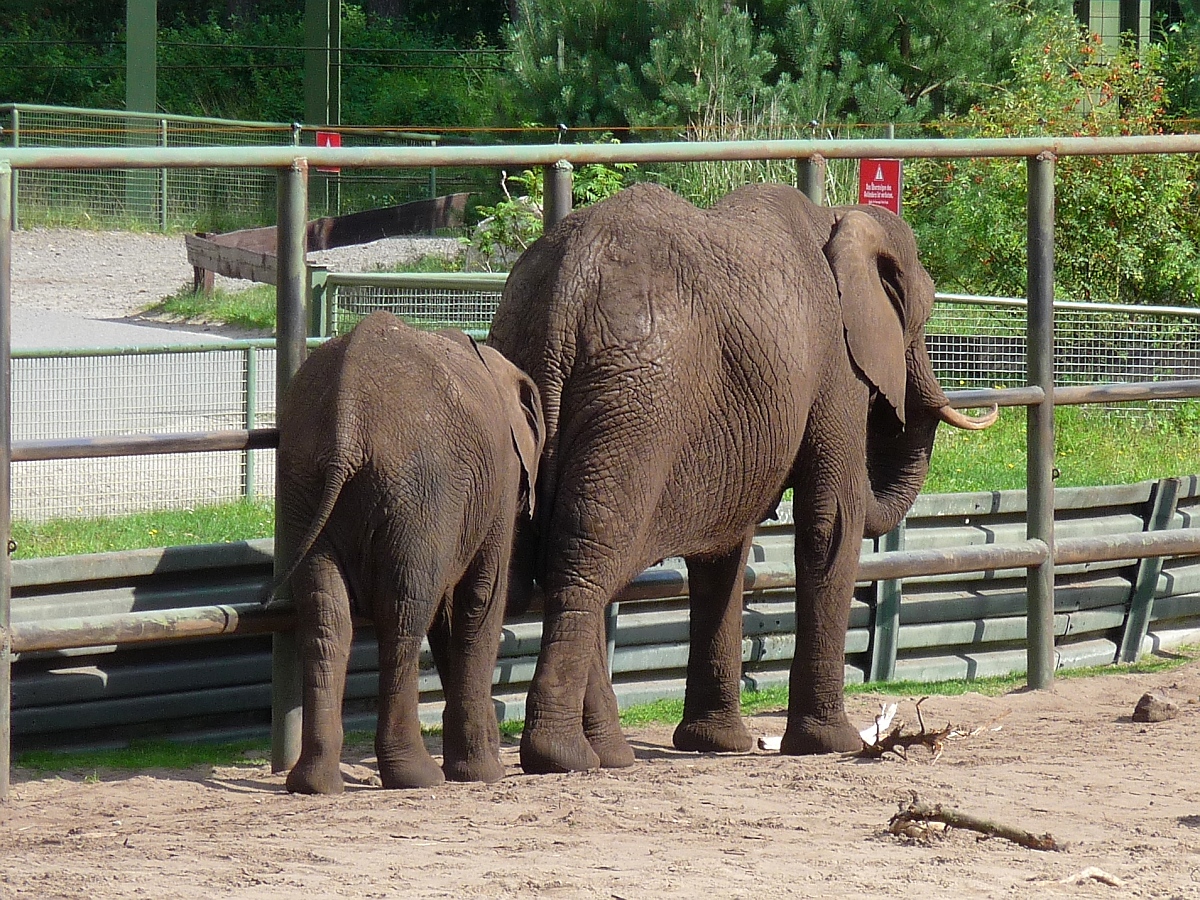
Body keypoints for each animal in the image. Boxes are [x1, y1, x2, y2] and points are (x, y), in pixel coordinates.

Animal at [272, 312, 544, 796]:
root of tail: (347, 422)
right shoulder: (499, 481)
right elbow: (480, 599)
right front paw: (483, 772)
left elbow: (449, 612)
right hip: (418, 489)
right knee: (404, 612)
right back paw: (416, 777)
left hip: (302, 479)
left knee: (327, 613)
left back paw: (314, 784)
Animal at [482, 181, 998, 777]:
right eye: (924, 310)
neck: (838, 216)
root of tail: (564, 293)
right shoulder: (836, 363)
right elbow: (832, 521)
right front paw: (833, 743)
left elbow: (725, 548)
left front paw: (718, 744)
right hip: (636, 409)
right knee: (588, 554)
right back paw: (567, 755)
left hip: (535, 384)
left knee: (554, 553)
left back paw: (606, 752)